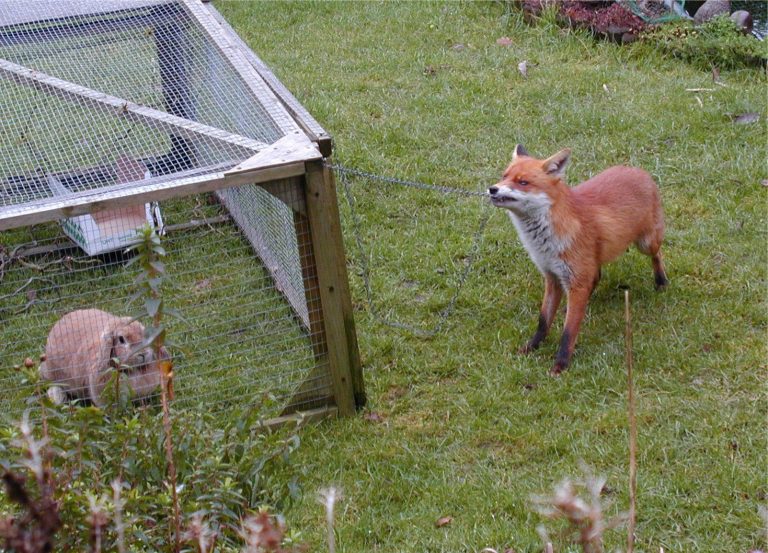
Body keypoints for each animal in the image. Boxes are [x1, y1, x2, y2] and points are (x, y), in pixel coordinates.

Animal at [488, 145, 668, 375]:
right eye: (504, 176)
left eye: (523, 182)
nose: (492, 189)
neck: (545, 243)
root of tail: (637, 170)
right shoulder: (553, 277)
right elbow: (543, 321)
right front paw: (531, 347)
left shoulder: (576, 279)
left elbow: (568, 331)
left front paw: (560, 365)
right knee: (597, 275)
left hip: (645, 243)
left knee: (657, 254)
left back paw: (661, 281)